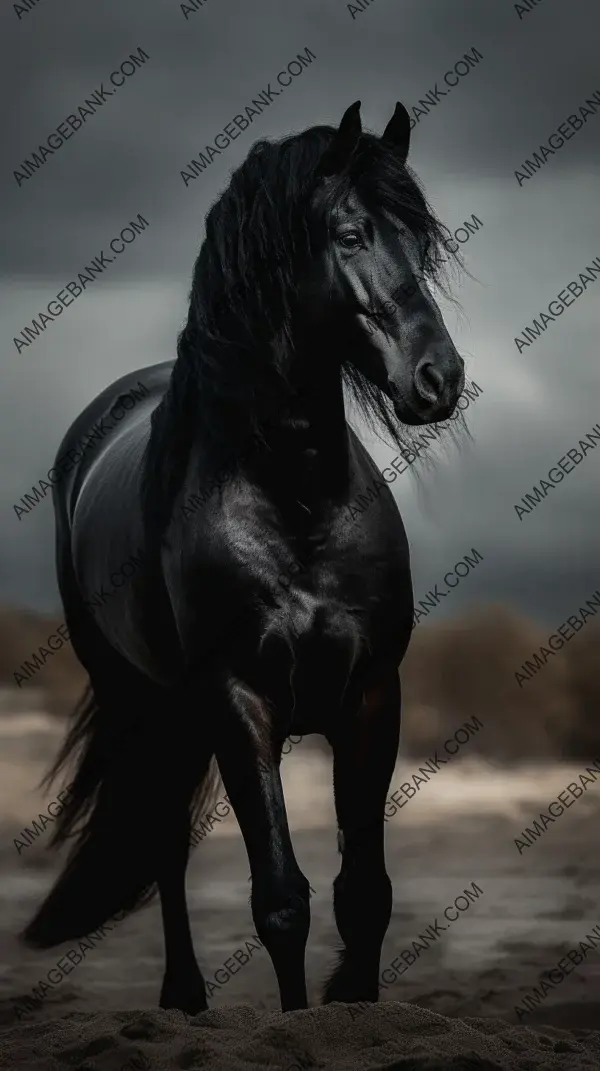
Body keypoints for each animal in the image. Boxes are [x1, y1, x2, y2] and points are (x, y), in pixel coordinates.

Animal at [22, 100, 465, 1011]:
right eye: (349, 233)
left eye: (423, 241)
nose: (439, 378)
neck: (295, 499)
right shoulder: (240, 701)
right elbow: (282, 900)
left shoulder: (372, 693)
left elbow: (364, 891)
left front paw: (353, 1002)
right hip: (146, 706)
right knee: (164, 846)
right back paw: (184, 996)